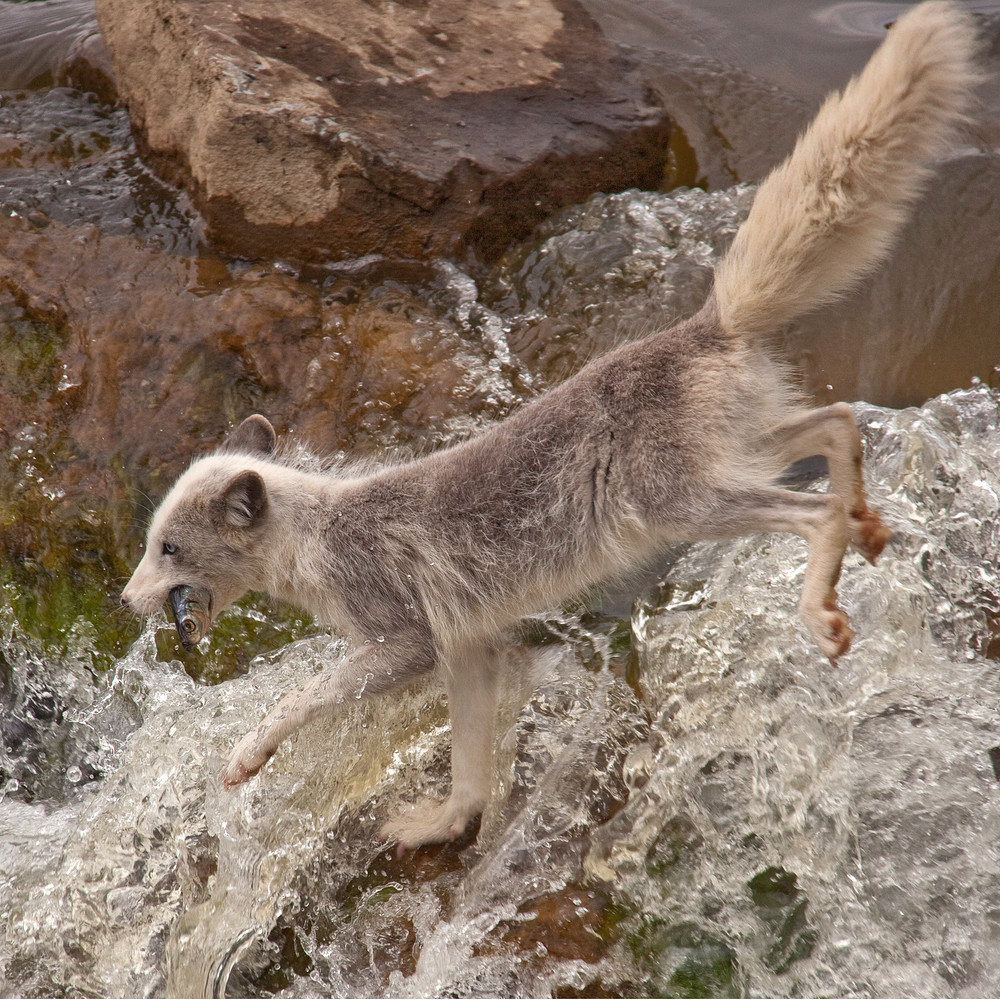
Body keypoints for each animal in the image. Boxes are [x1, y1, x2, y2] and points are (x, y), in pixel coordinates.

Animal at [123, 3, 976, 852]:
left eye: (169, 549)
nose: (128, 603)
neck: (316, 538)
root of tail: (708, 323)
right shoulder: (470, 647)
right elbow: (469, 765)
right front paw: (445, 824)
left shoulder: (404, 640)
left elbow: (301, 698)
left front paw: (247, 756)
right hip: (733, 460)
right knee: (837, 420)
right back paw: (868, 524)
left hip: (680, 504)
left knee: (813, 507)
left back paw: (822, 606)